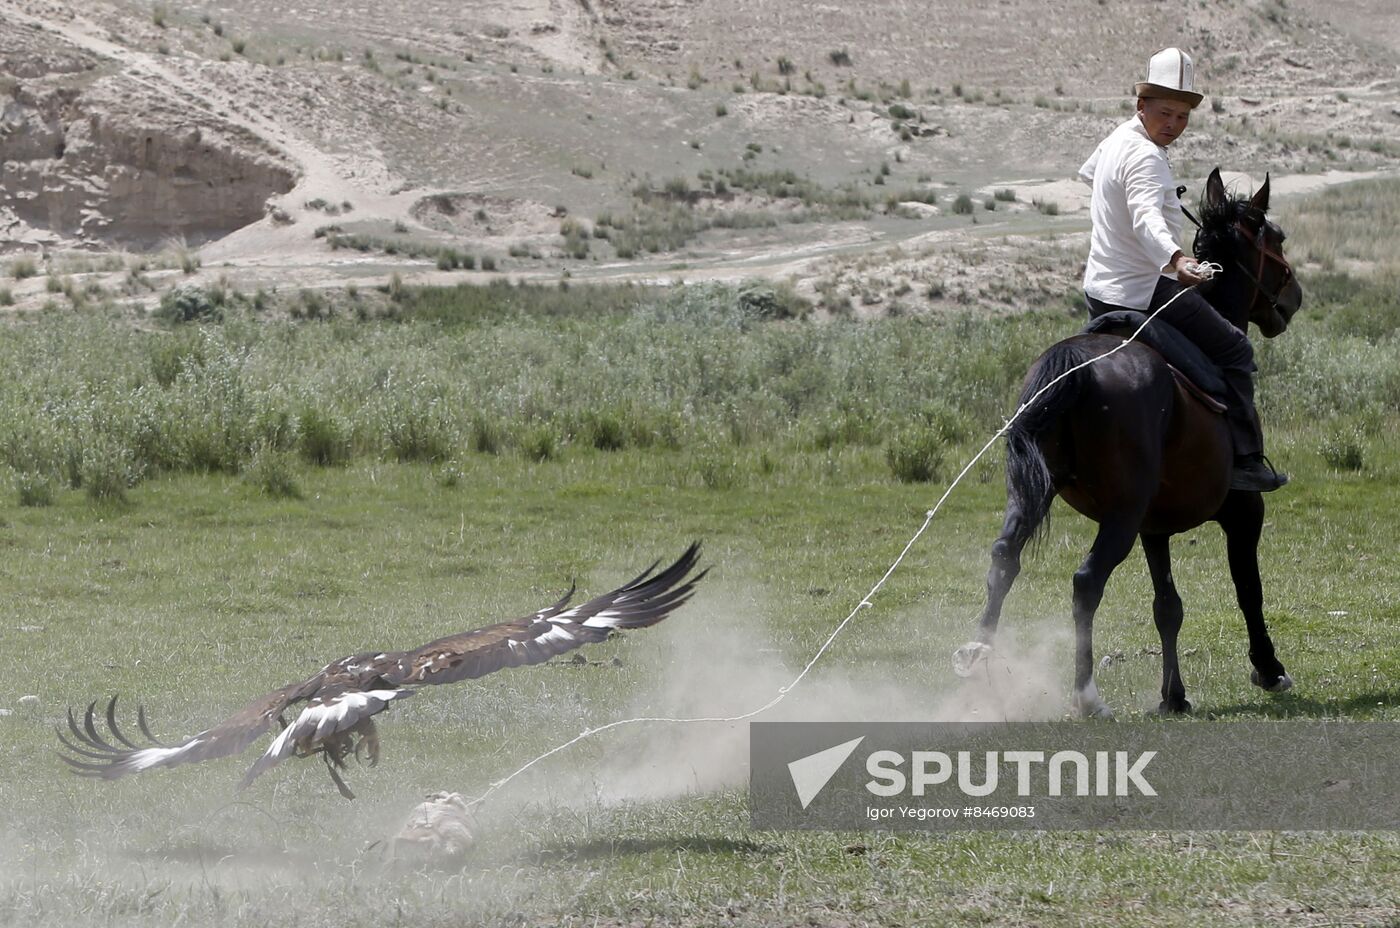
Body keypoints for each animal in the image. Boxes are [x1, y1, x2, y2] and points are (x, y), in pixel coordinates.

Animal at [957, 168, 1304, 716]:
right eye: (1277, 239)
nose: (1294, 298)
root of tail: (1074, 363)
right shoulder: (1243, 511)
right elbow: (1249, 589)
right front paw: (1268, 669)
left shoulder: (1153, 527)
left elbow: (1168, 606)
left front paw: (1173, 696)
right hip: (1119, 516)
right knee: (1085, 581)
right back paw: (1086, 694)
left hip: (1034, 497)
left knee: (1003, 559)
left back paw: (979, 664)